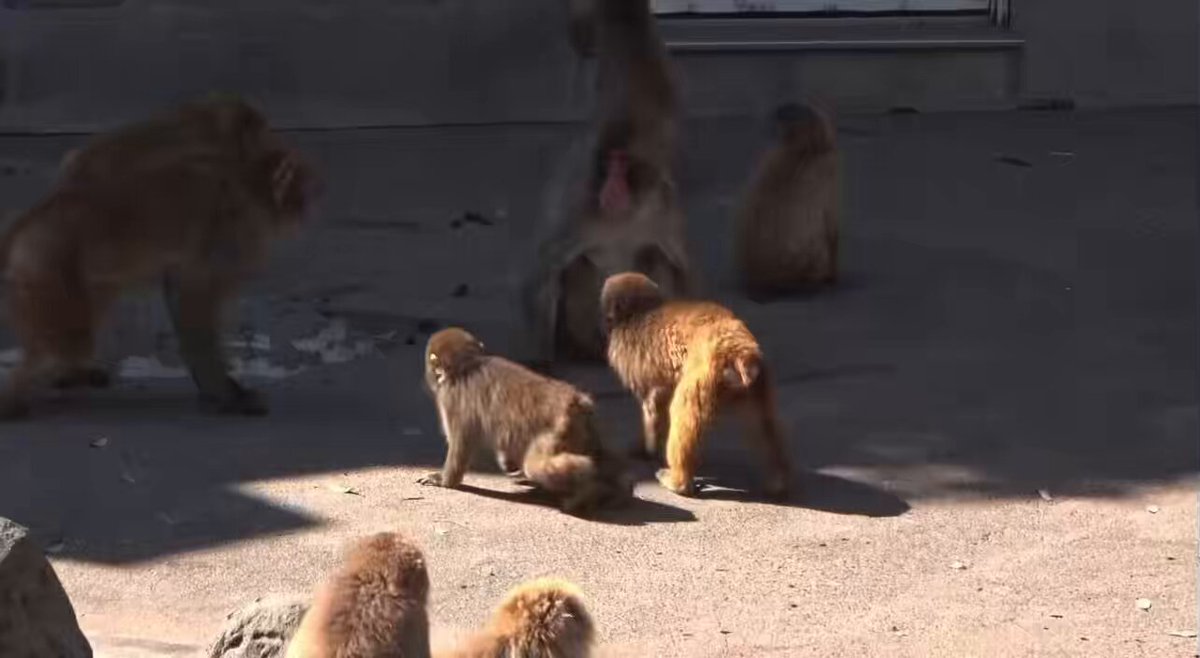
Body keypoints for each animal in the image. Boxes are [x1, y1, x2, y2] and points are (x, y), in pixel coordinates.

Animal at [0, 96, 317, 419]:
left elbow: (180, 286)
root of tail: (27, 224)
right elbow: (194, 291)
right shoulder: (231, 230)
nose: (304, 214)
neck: (245, 179)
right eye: (301, 195)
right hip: (49, 269)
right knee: (65, 344)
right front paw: (225, 392)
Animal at [417, 327, 631, 516]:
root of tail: (577, 402)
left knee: (539, 466)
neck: (468, 364)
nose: (429, 377)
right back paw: (613, 490)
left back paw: (585, 490)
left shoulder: (451, 400)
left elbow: (461, 446)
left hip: (555, 433)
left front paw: (444, 480)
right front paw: (509, 465)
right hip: (582, 431)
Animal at [520, 0, 690, 364]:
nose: (611, 189)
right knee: (577, 269)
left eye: (623, 166)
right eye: (607, 166)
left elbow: (679, 265)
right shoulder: (580, 207)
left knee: (655, 258)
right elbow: (543, 269)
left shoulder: (664, 205)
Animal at [600, 272, 791, 499]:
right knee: (763, 421)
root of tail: (741, 351)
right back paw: (778, 480)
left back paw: (678, 482)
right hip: (756, 383)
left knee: (684, 412)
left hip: (705, 377)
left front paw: (645, 449)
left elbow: (653, 404)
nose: (607, 320)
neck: (642, 310)